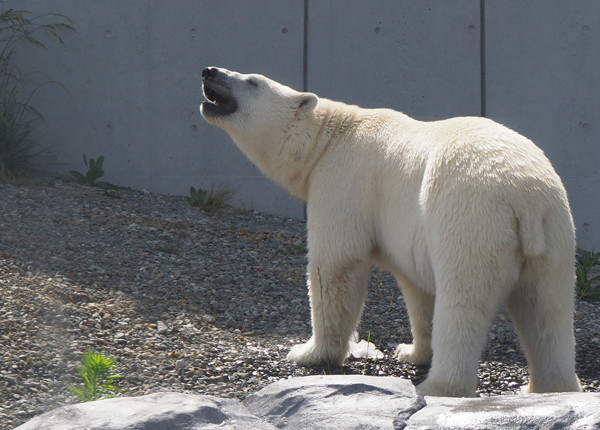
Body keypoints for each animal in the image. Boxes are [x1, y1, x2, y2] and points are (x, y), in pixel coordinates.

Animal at [200, 66, 580, 396]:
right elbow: (418, 290)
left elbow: (336, 265)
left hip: (468, 217)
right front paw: (411, 351)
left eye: (252, 81)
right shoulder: (409, 235)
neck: (330, 137)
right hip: (555, 234)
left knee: (463, 301)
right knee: (548, 310)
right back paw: (551, 387)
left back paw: (438, 387)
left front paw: (309, 353)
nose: (210, 71)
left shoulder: (343, 181)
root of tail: (524, 197)